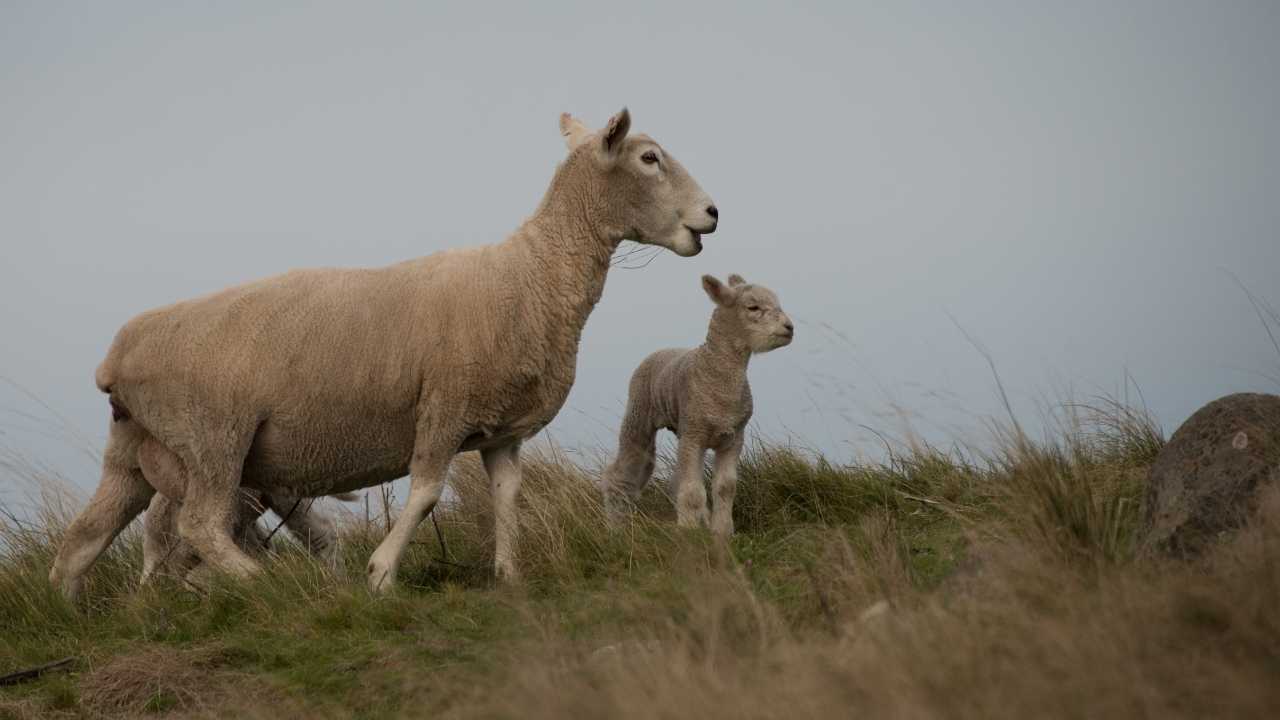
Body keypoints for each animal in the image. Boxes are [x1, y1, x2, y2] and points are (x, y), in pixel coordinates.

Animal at [49, 106, 721, 597]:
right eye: (649, 158)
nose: (712, 213)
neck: (528, 276)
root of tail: (117, 356)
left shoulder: (503, 431)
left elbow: (507, 497)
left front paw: (509, 575)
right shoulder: (443, 407)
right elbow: (424, 494)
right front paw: (380, 574)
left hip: (135, 448)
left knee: (82, 541)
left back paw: (72, 613)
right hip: (215, 435)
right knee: (199, 524)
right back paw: (268, 585)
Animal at [599, 272, 788, 532]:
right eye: (753, 307)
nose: (789, 328)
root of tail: (662, 349)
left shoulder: (734, 437)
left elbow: (725, 488)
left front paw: (722, 530)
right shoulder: (694, 435)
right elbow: (692, 492)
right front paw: (689, 532)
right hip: (639, 415)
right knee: (621, 474)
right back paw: (615, 525)